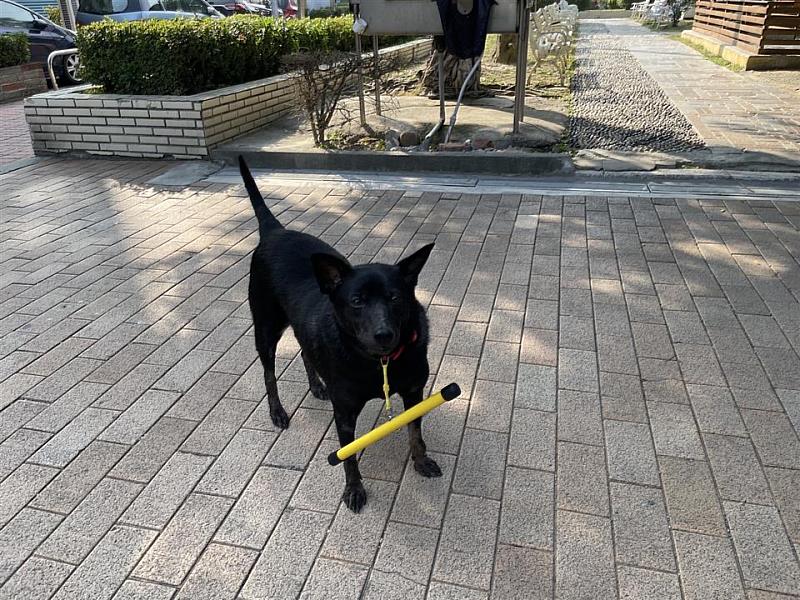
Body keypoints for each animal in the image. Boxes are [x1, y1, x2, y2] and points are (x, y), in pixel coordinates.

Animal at [241, 156, 440, 510]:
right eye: (357, 301)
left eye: (394, 298)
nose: (384, 334)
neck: (380, 363)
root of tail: (276, 231)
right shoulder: (344, 411)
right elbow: (348, 457)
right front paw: (354, 489)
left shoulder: (414, 393)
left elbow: (415, 434)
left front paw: (420, 461)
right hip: (265, 328)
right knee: (268, 372)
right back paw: (277, 411)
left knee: (305, 350)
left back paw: (317, 385)